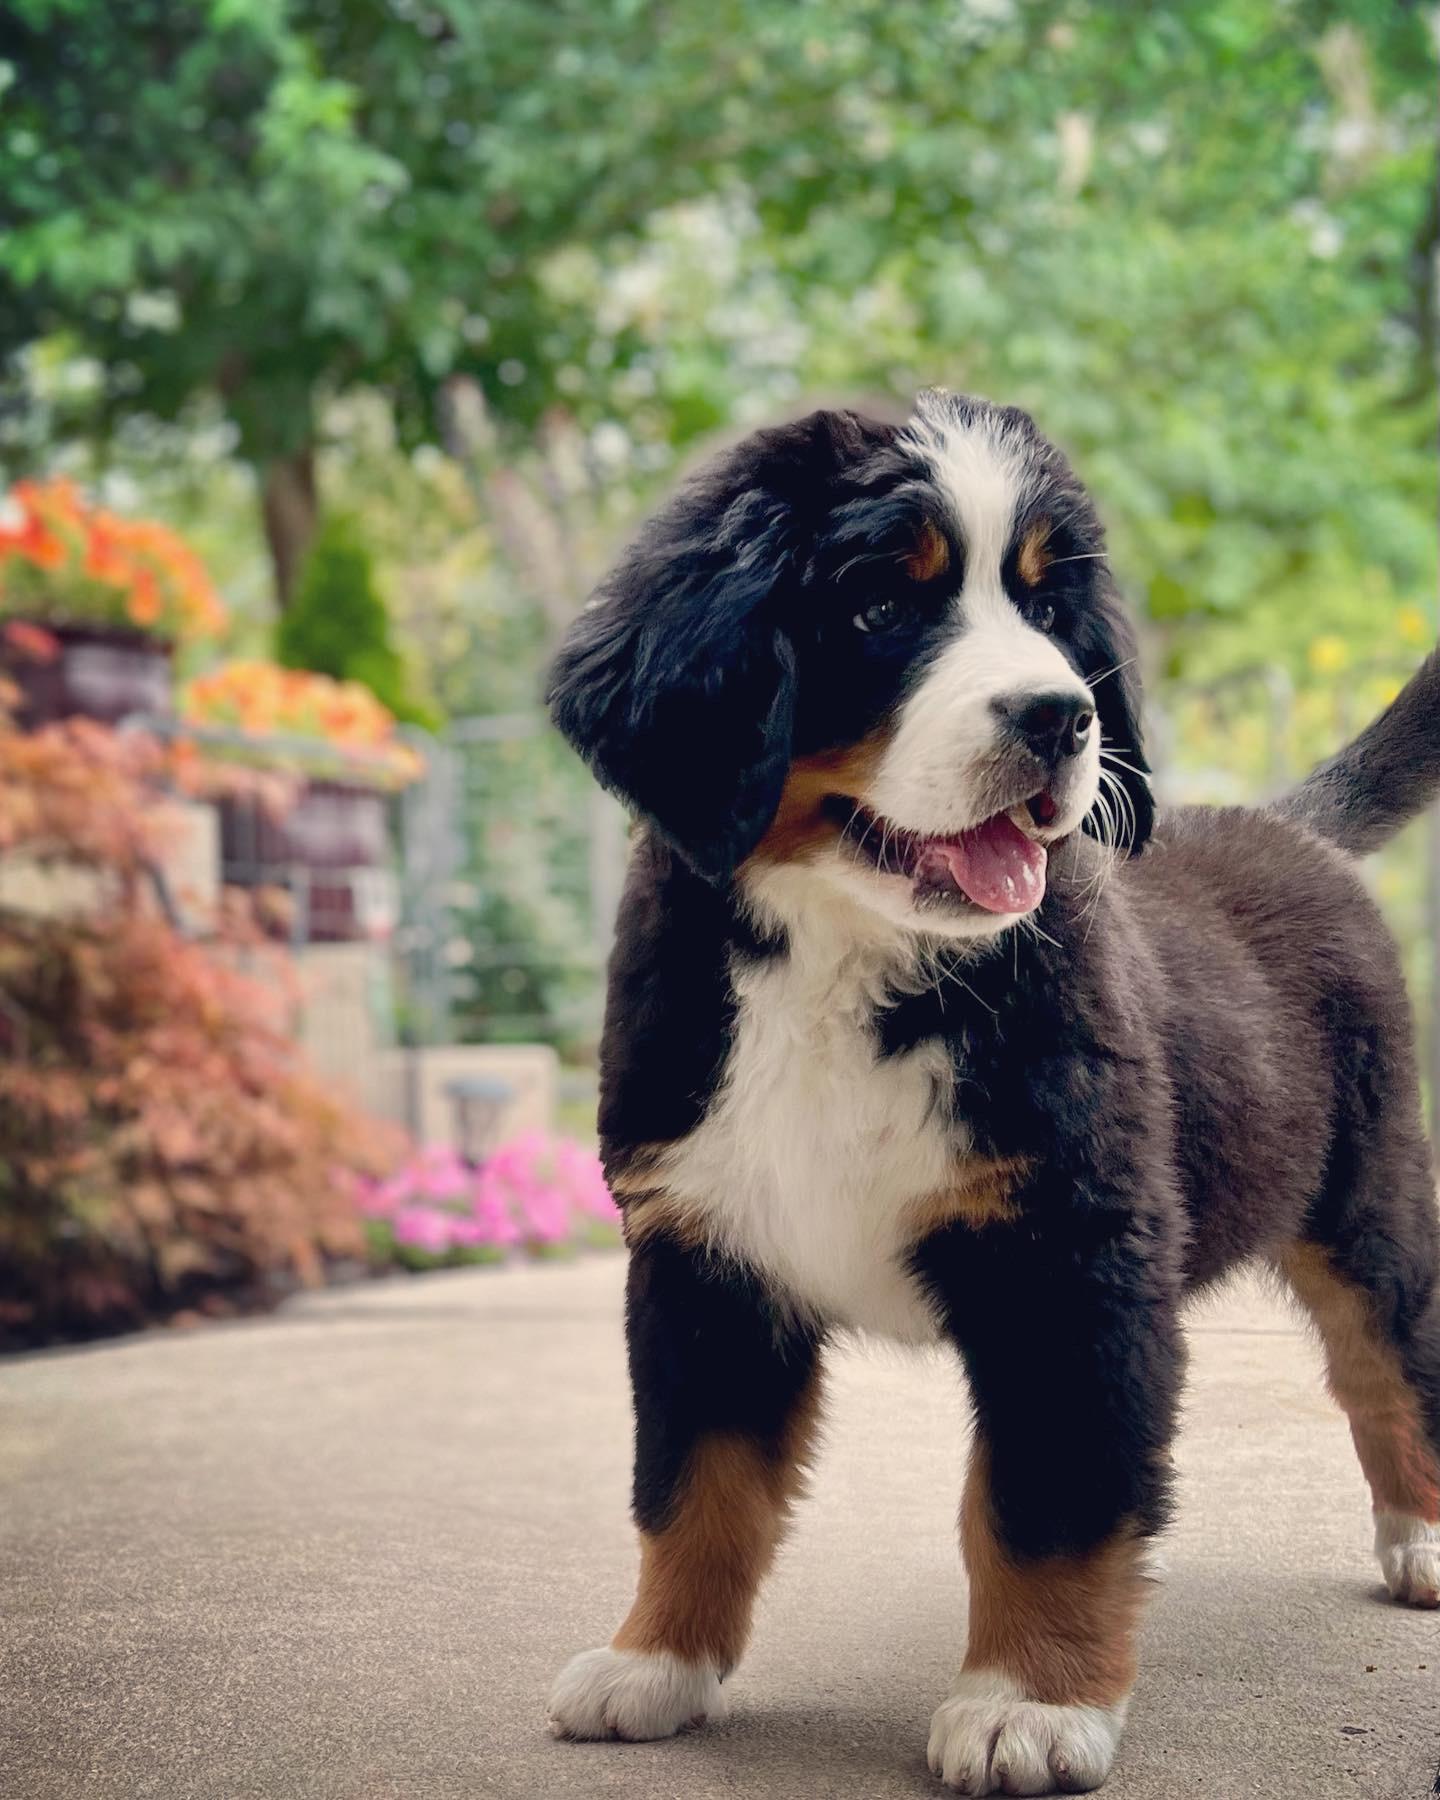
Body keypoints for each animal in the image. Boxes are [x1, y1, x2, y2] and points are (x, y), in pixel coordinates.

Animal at [542, 389, 1440, 1795]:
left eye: (1047, 607)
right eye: (876, 607)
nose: (1062, 717)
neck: (847, 959)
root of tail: (1287, 824)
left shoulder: (1071, 1262)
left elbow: (1042, 1503)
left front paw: (1032, 1706)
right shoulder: (700, 1259)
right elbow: (693, 1483)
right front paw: (655, 1663)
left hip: (1370, 1191)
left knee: (1388, 1360)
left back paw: (1422, 1540)